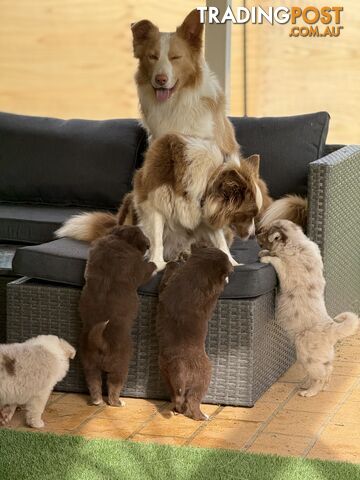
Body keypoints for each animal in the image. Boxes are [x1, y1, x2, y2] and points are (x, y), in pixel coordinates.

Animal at [79, 227, 155, 406]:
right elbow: (149, 267)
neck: (118, 240)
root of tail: (102, 343)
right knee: (114, 386)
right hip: (120, 366)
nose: (149, 245)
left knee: (94, 384)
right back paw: (118, 402)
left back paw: (97, 401)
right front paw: (156, 261)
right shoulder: (139, 268)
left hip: (89, 364)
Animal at [156, 246, 232, 418]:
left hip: (166, 375)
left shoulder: (166, 286)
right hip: (204, 375)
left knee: (177, 398)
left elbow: (166, 277)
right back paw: (202, 416)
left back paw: (177, 410)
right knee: (193, 401)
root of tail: (179, 365)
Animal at [258, 218, 358, 398]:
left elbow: (278, 262)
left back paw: (310, 392)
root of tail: (331, 328)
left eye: (265, 232)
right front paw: (264, 253)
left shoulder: (287, 275)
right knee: (328, 371)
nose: (256, 232)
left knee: (320, 376)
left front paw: (266, 257)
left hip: (306, 353)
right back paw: (313, 386)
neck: (296, 244)